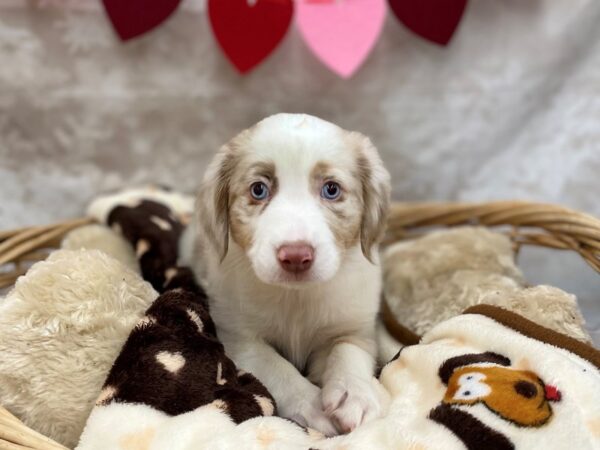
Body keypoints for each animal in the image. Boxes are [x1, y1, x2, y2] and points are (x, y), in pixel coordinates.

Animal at [180, 113, 392, 436]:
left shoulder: (357, 327)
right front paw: (312, 405)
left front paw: (353, 394)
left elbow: (347, 350)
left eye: (331, 189)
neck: (296, 296)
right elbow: (277, 367)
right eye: (258, 190)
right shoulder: (240, 338)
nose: (295, 256)